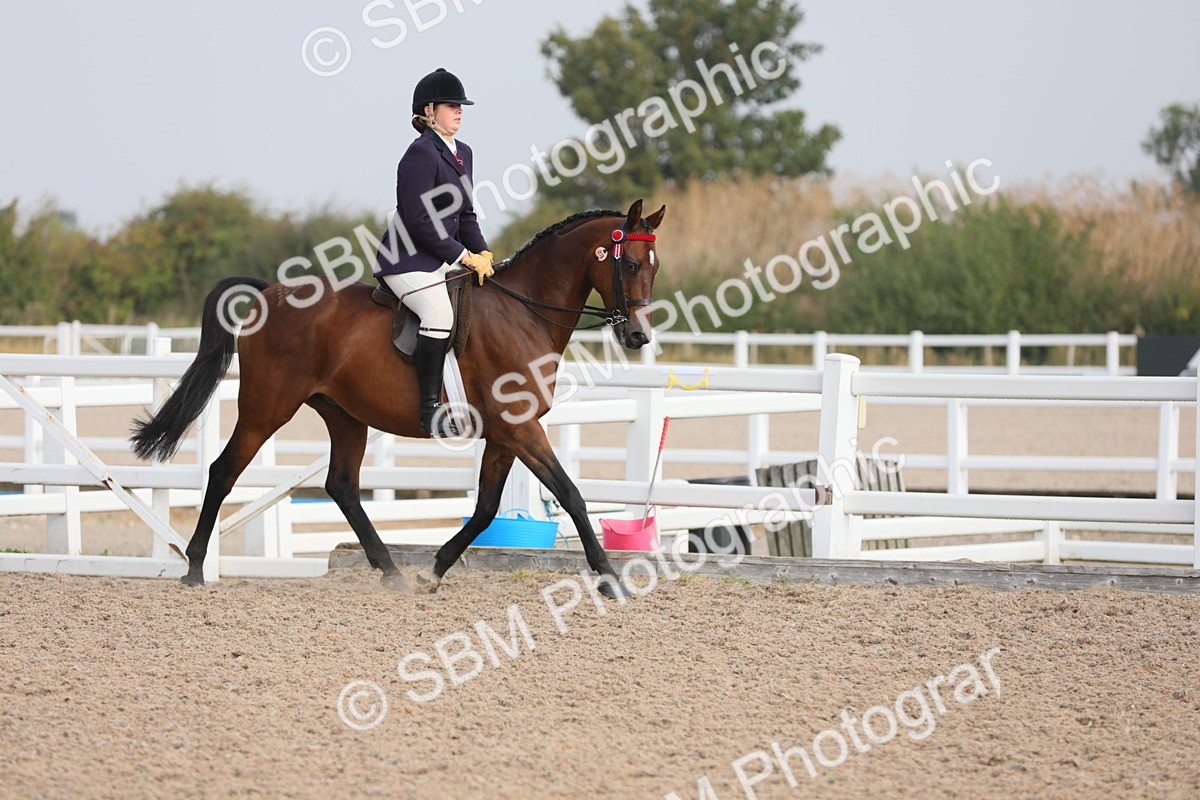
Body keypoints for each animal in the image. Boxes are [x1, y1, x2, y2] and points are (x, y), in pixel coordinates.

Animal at [130, 199, 666, 598]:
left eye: (654, 268)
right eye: (630, 264)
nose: (638, 337)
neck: (525, 313)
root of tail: (271, 292)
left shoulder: (505, 434)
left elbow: (486, 507)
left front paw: (434, 570)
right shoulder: (520, 427)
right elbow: (571, 494)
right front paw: (610, 579)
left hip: (344, 415)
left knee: (342, 486)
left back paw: (390, 571)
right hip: (267, 408)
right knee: (224, 470)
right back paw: (194, 569)